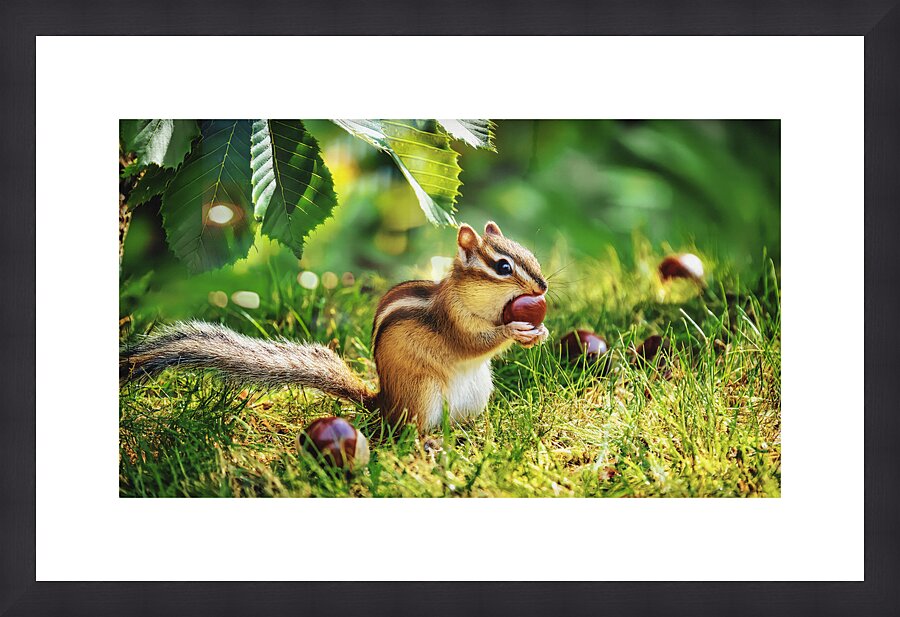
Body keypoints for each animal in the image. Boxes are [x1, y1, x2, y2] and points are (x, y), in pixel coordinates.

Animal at [120, 221, 549, 432]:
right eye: (503, 267)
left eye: (529, 255)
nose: (543, 287)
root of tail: (384, 404)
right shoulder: (454, 320)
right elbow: (473, 343)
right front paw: (514, 331)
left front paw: (539, 333)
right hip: (424, 395)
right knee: (410, 433)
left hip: (477, 394)